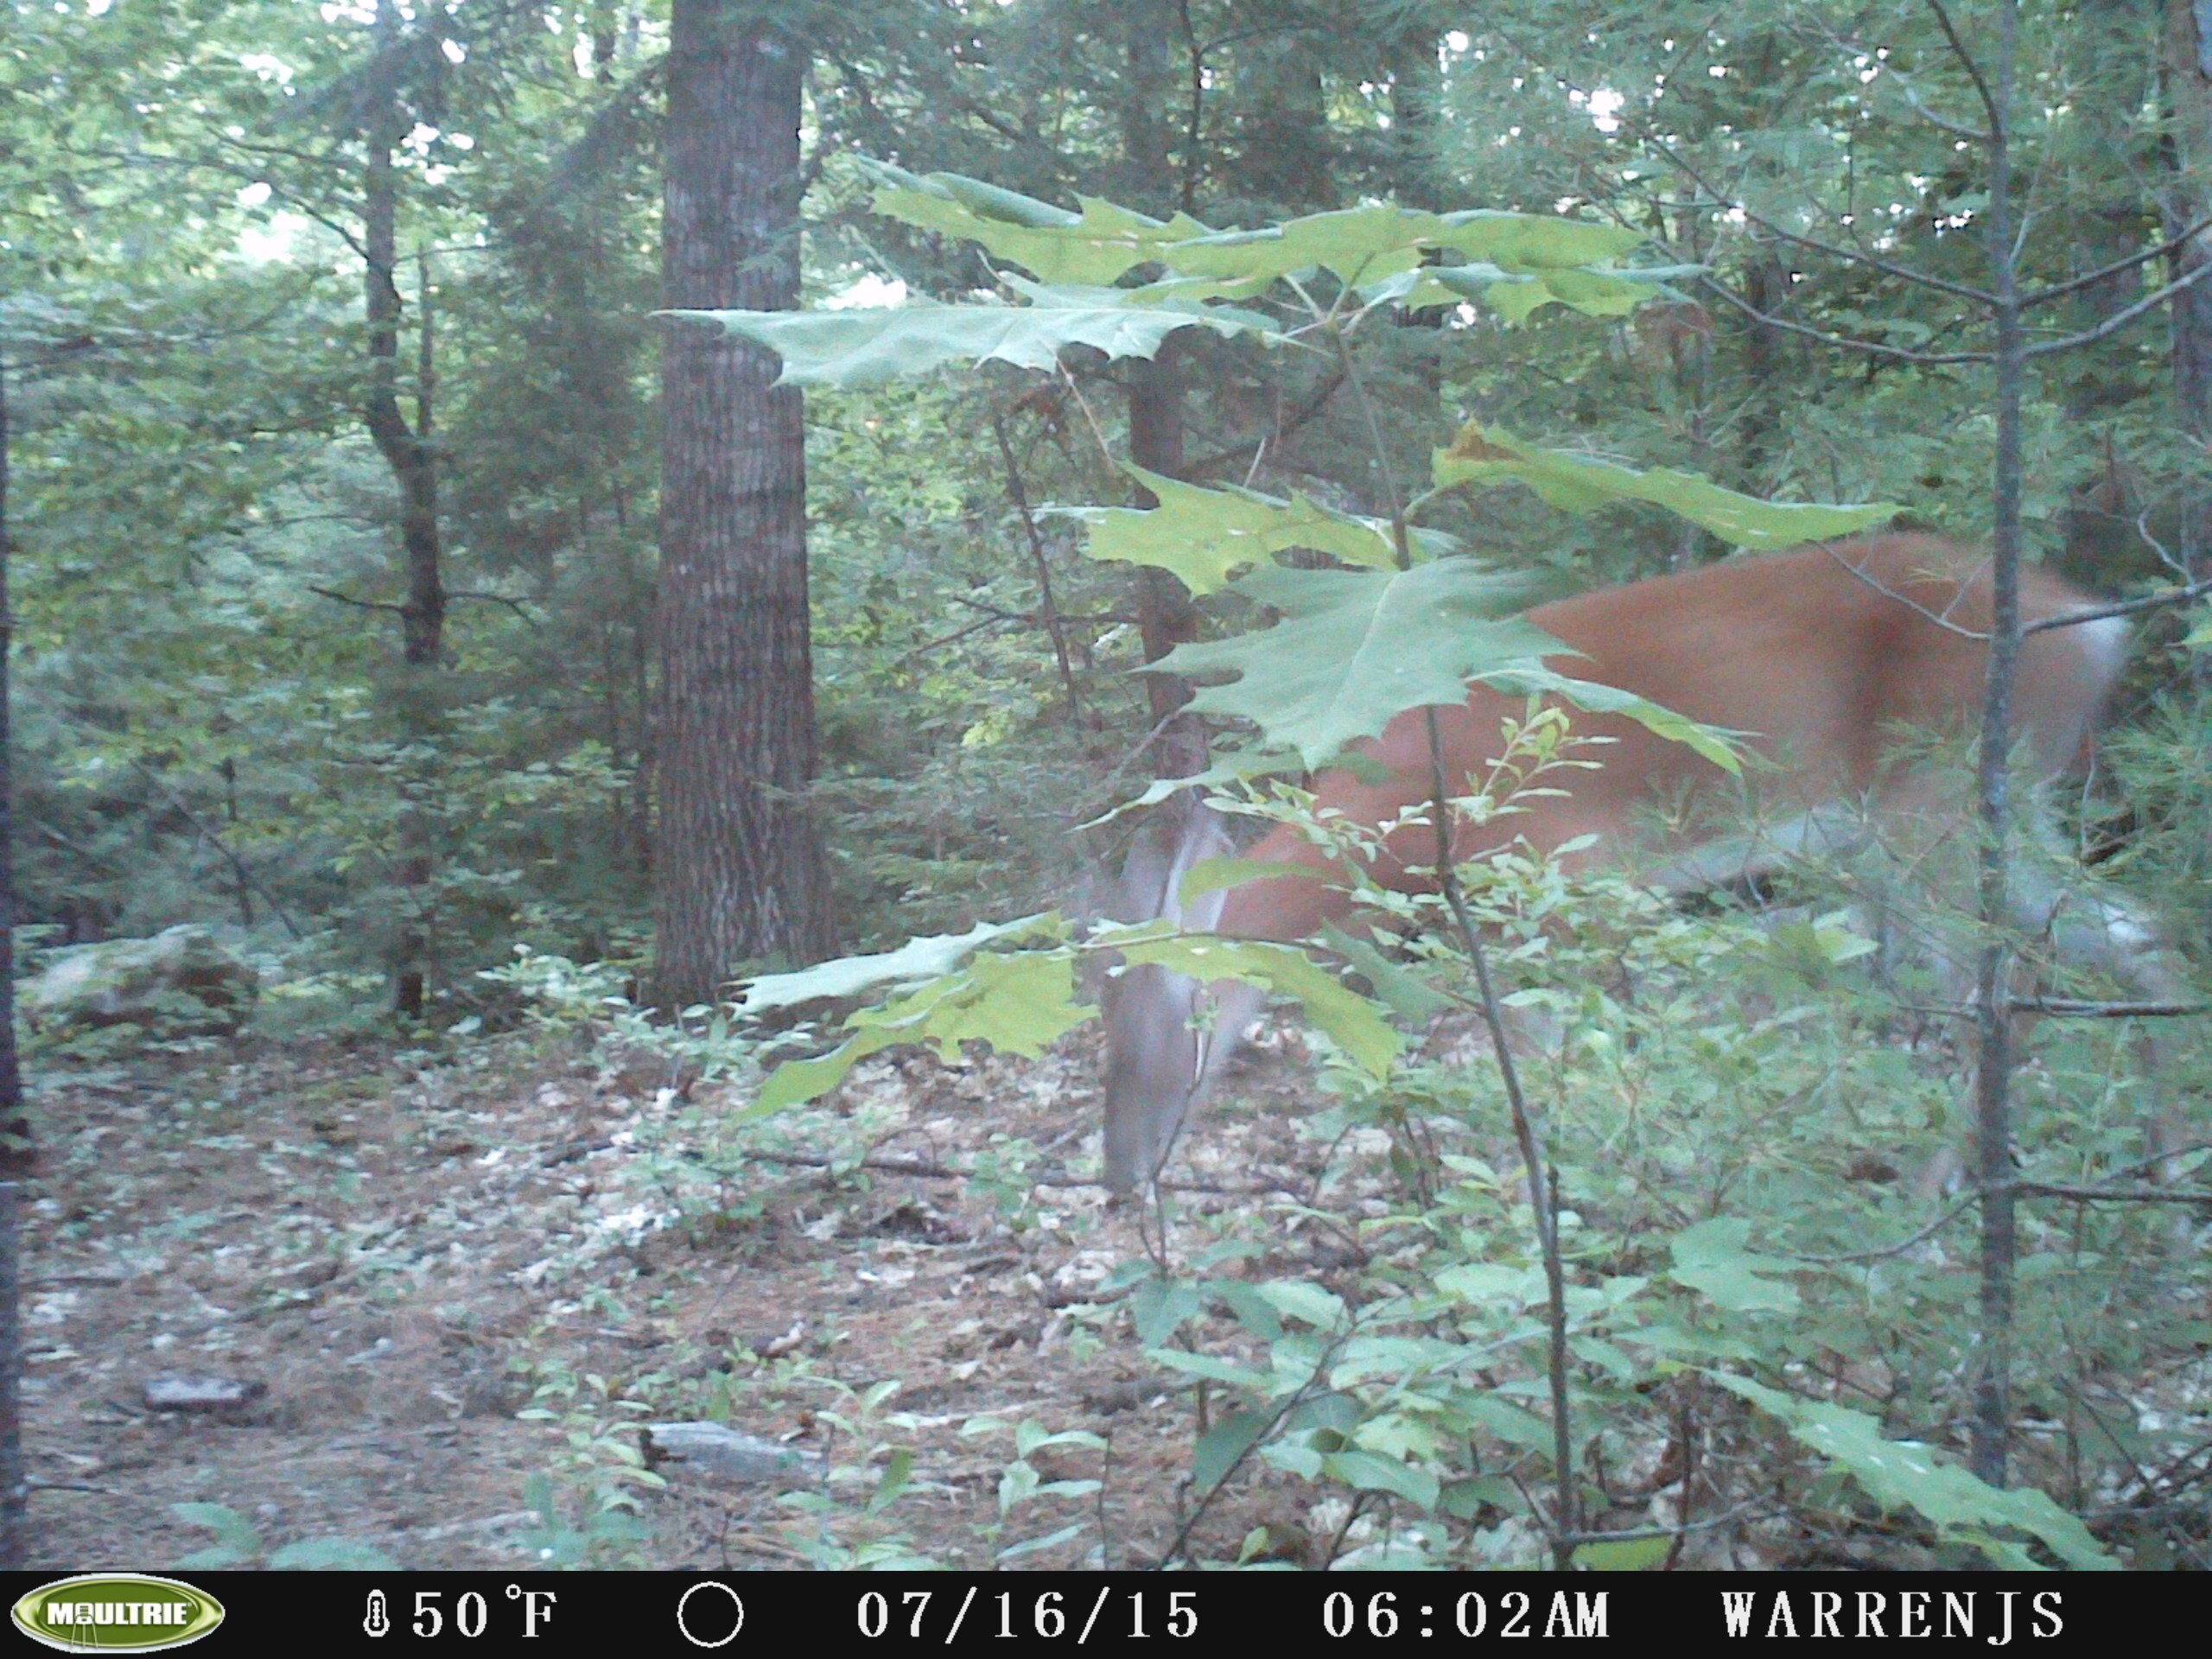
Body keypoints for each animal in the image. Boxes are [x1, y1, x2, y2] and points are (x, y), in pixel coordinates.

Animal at [1099, 534, 2186, 1197]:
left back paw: (1927, 1226)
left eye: (1157, 1023)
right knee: (2137, 942)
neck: (1407, 806)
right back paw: (2163, 1180)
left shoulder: (1569, 876)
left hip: (1939, 800)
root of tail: (2095, 628)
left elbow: (1569, 1060)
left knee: (1994, 989)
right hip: (2002, 808)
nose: (1119, 1176)